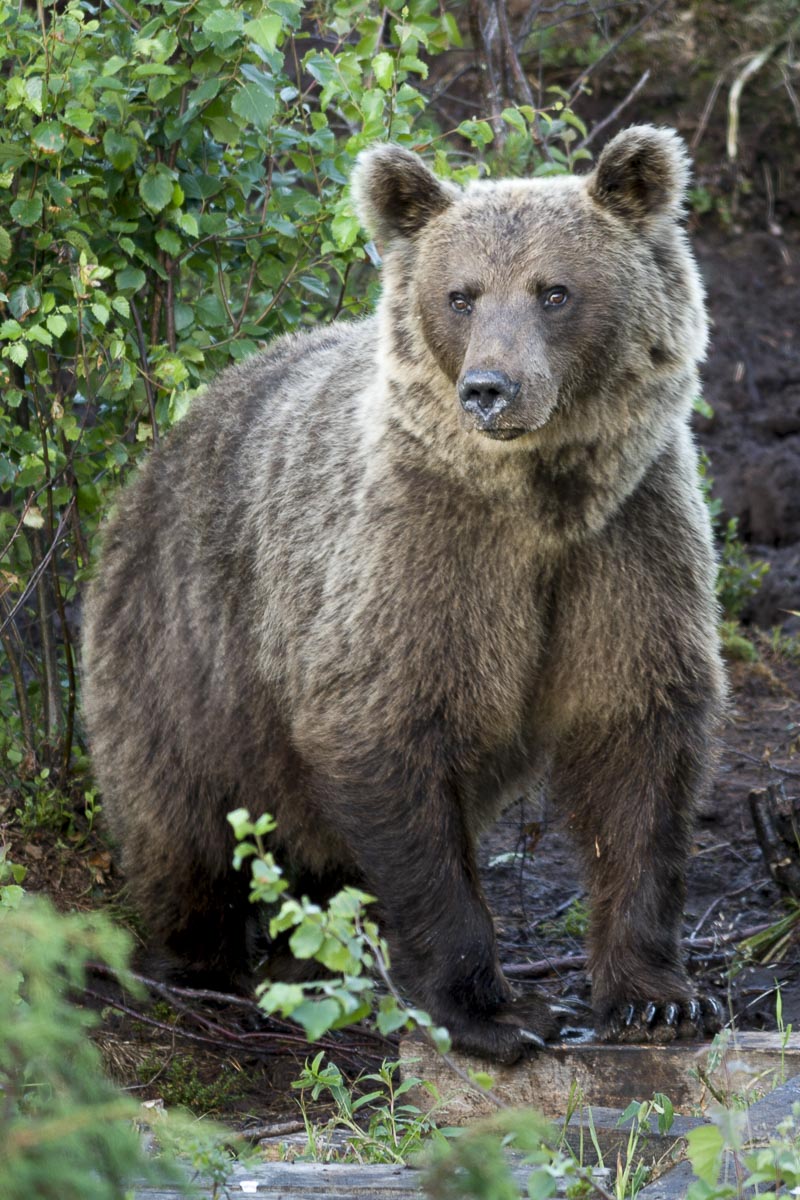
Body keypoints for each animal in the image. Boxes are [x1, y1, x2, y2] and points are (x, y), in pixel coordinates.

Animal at [81, 125, 725, 1063]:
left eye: (554, 290)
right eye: (461, 294)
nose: (490, 388)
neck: (541, 499)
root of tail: (156, 455)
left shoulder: (626, 543)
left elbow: (637, 744)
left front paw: (657, 999)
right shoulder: (421, 555)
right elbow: (390, 734)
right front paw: (492, 1011)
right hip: (184, 640)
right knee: (184, 813)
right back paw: (201, 964)